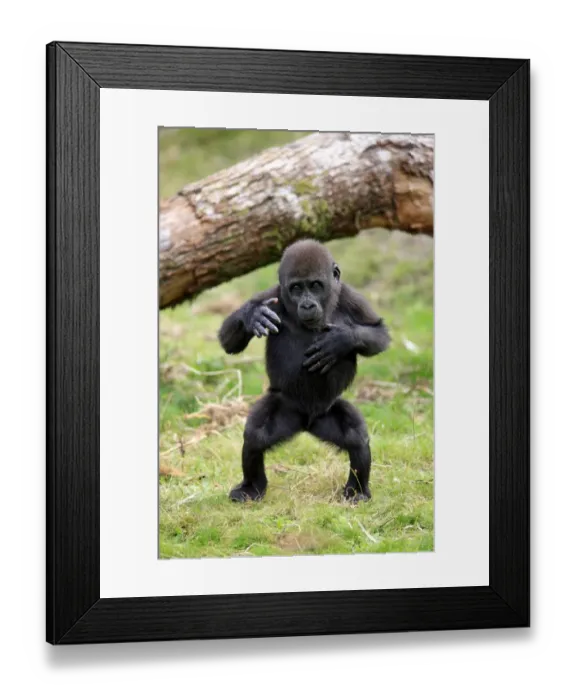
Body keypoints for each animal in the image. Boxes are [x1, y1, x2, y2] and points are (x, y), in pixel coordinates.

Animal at [218, 239, 390, 503]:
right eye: (296, 288)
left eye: (315, 285)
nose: (307, 304)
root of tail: (307, 422)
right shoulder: (271, 296)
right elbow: (229, 341)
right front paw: (251, 315)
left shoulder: (351, 297)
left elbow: (378, 332)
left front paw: (340, 340)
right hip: (286, 408)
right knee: (256, 435)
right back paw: (252, 487)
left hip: (327, 412)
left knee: (356, 437)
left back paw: (358, 490)